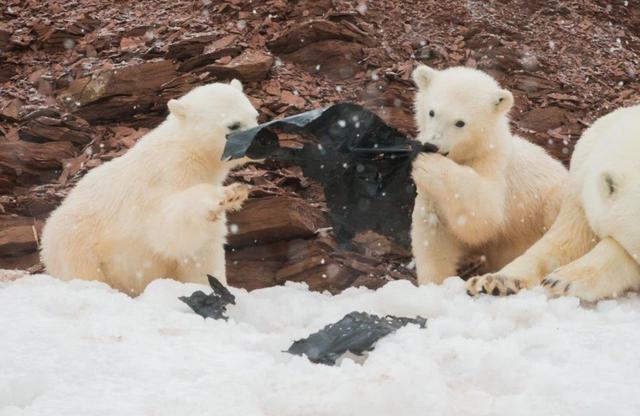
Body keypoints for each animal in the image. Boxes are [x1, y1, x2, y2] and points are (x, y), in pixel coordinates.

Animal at [40, 80, 258, 296]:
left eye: (255, 116)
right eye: (233, 125)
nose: (261, 140)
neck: (190, 153)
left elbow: (203, 250)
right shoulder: (164, 179)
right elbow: (169, 227)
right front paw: (227, 194)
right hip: (77, 243)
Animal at [410, 66, 564, 286]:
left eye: (460, 123)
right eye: (432, 112)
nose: (431, 145)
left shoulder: (495, 166)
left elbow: (485, 214)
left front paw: (430, 165)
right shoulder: (430, 196)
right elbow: (433, 232)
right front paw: (433, 284)